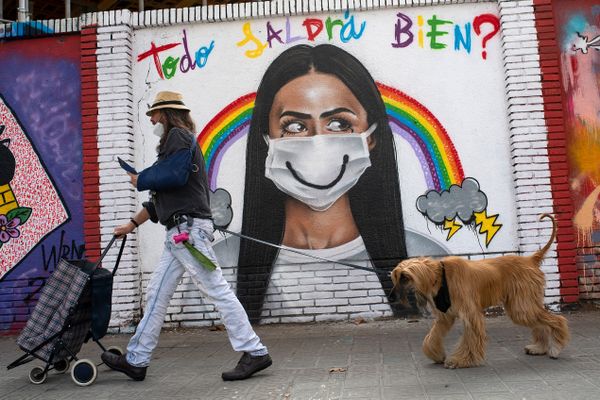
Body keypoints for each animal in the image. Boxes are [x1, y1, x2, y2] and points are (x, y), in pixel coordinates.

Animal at [392, 212, 568, 368]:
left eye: (404, 277)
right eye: (395, 277)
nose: (392, 296)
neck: (440, 278)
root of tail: (530, 260)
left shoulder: (470, 313)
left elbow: (470, 339)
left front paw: (460, 360)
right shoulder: (445, 316)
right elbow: (431, 337)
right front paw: (436, 354)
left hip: (521, 305)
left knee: (556, 319)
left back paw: (555, 348)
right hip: (522, 303)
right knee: (541, 323)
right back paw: (539, 348)